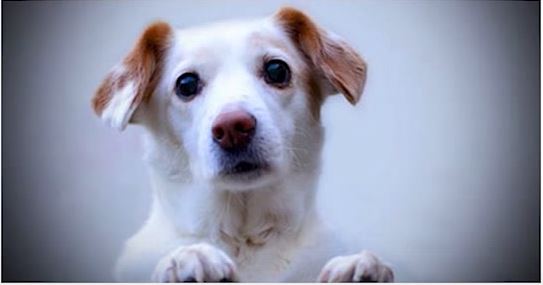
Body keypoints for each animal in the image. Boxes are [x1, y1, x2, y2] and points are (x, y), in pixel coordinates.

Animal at [92, 6, 396, 282]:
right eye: (186, 83)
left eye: (277, 69)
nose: (232, 128)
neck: (243, 236)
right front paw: (189, 259)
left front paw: (359, 268)